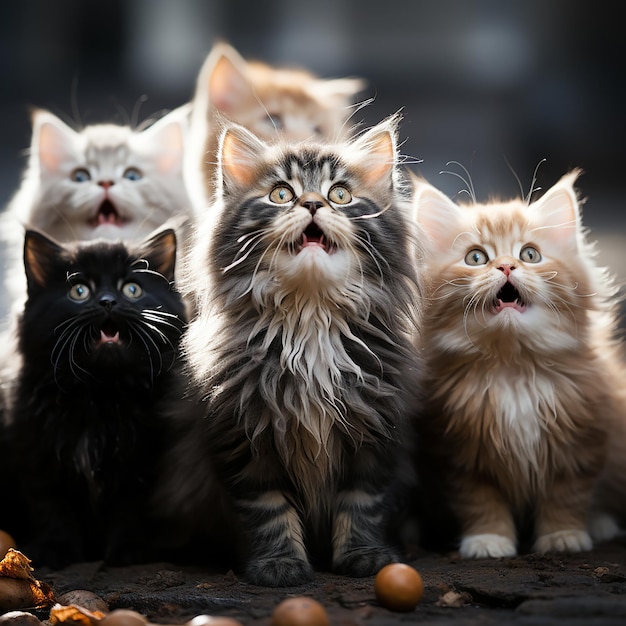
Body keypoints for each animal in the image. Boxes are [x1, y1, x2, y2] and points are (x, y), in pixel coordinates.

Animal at [4, 225, 185, 564]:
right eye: (79, 291)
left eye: (132, 289)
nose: (107, 301)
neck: (98, 397)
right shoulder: (36, 454)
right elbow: (52, 508)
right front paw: (54, 549)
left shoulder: (141, 464)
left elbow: (130, 510)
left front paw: (128, 551)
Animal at [163, 113, 422, 584]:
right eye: (281, 194)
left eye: (340, 194)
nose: (314, 204)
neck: (311, 320)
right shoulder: (243, 435)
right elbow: (267, 510)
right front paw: (279, 565)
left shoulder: (376, 432)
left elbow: (363, 504)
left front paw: (365, 556)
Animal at [412, 169, 620, 556]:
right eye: (476, 258)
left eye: (530, 254)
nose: (507, 265)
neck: (512, 367)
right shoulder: (459, 456)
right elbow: (479, 502)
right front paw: (488, 540)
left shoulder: (581, 444)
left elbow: (566, 496)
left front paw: (563, 536)